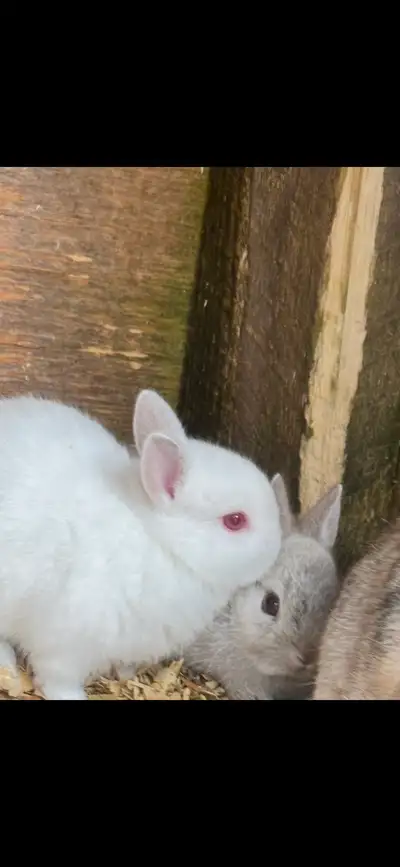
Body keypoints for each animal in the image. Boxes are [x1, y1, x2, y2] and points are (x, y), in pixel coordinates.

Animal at [0, 388, 281, 700]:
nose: (277, 545)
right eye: (235, 520)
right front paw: (72, 696)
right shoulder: (65, 641)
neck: (161, 543)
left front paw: (126, 674)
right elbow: (57, 678)